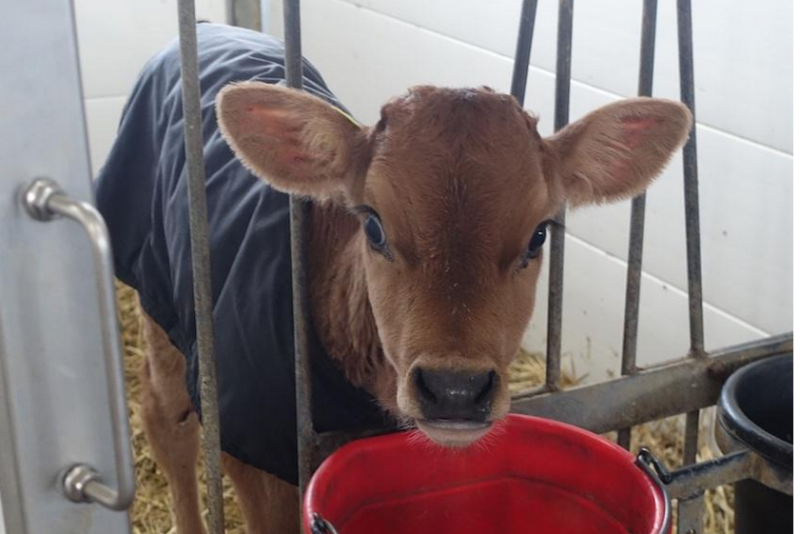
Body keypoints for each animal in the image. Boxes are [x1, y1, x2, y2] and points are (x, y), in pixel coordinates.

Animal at [95, 22, 691, 534]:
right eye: (374, 226)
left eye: (539, 235)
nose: (456, 389)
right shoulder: (250, 445)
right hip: (160, 301)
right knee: (164, 418)